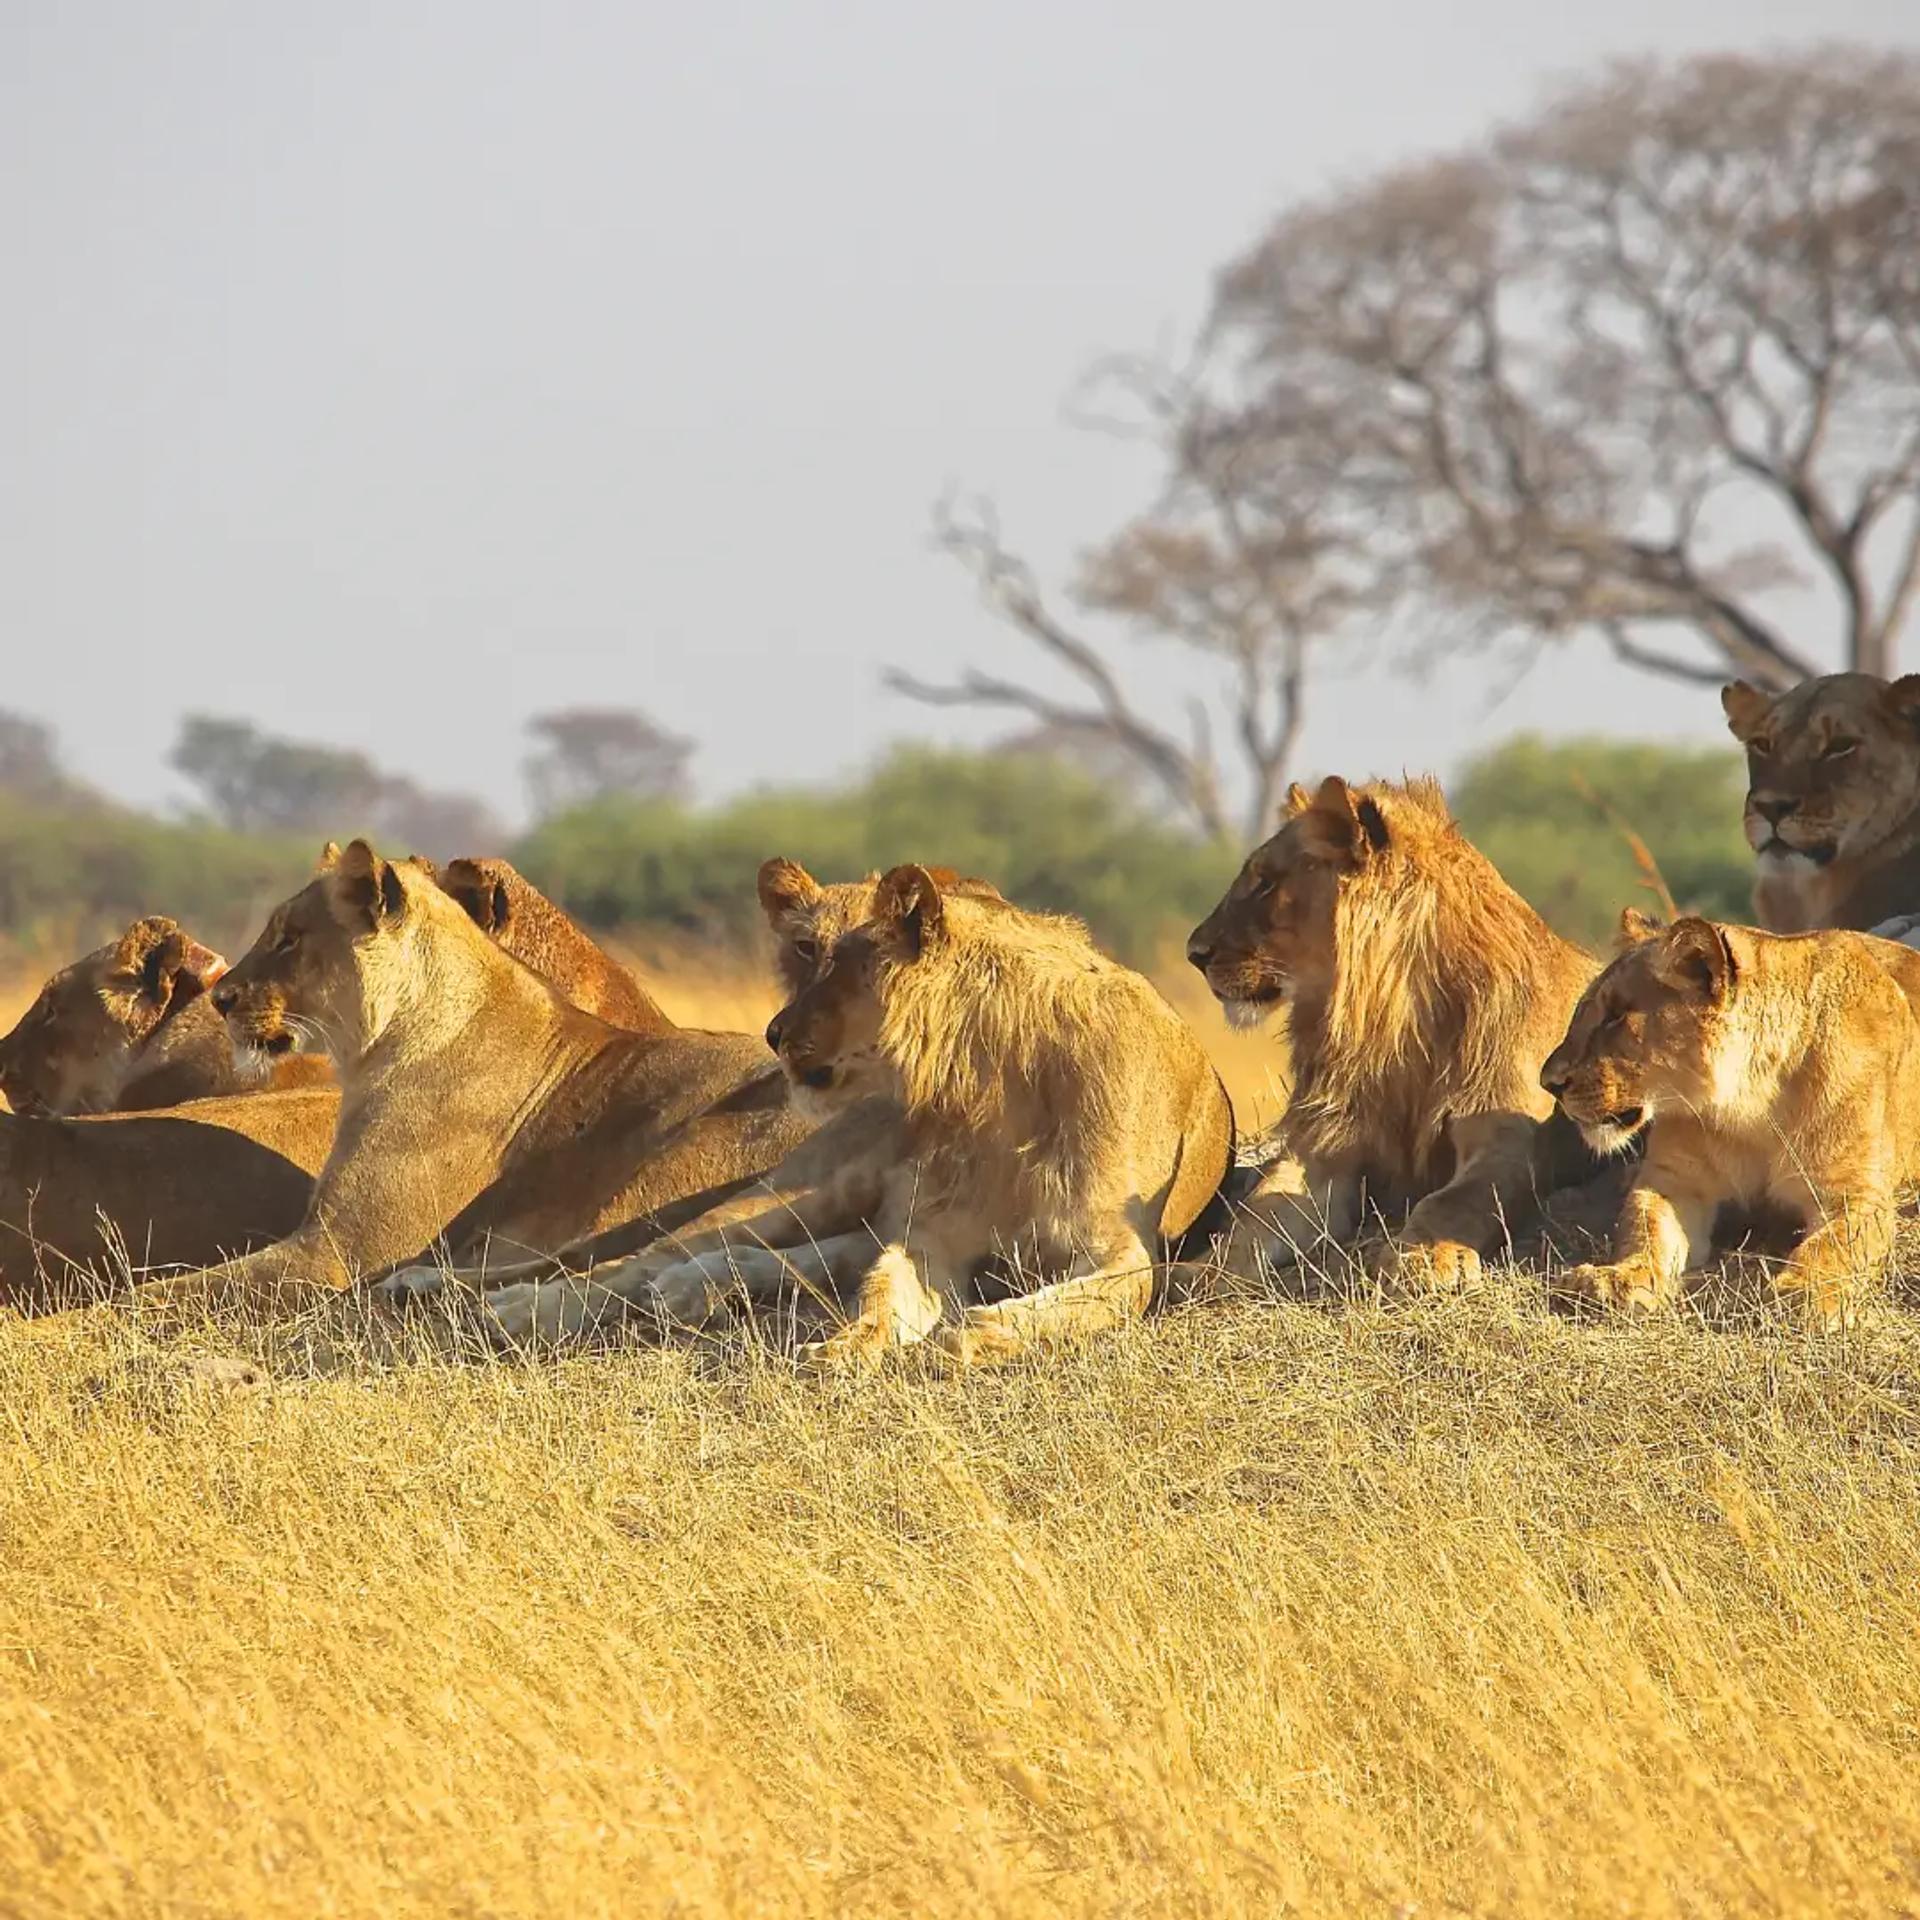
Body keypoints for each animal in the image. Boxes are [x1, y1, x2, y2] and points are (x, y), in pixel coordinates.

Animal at [132, 840, 815, 1315]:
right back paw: (421, 1284)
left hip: (676, 1158)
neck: (377, 1048)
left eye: (290, 939)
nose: (221, 998)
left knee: (613, 1260)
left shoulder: (336, 1251)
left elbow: (172, 1291)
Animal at [1183, 775, 1601, 1289]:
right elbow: (1259, 1212)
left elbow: (1453, 1201)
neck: (1393, 1021)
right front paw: (1202, 1270)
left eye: (1265, 882)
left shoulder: (1512, 1140)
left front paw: (1426, 1256)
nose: (1194, 952)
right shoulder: (1324, 1147)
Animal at [1541, 911, 1920, 1324]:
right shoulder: (1675, 1180)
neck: (1753, 1107)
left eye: (1616, 1017)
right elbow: (1644, 1227)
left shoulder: (1856, 1193)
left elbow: (1830, 1246)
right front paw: (1617, 1279)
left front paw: (1802, 1292)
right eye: (1584, 1012)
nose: (1548, 1083)